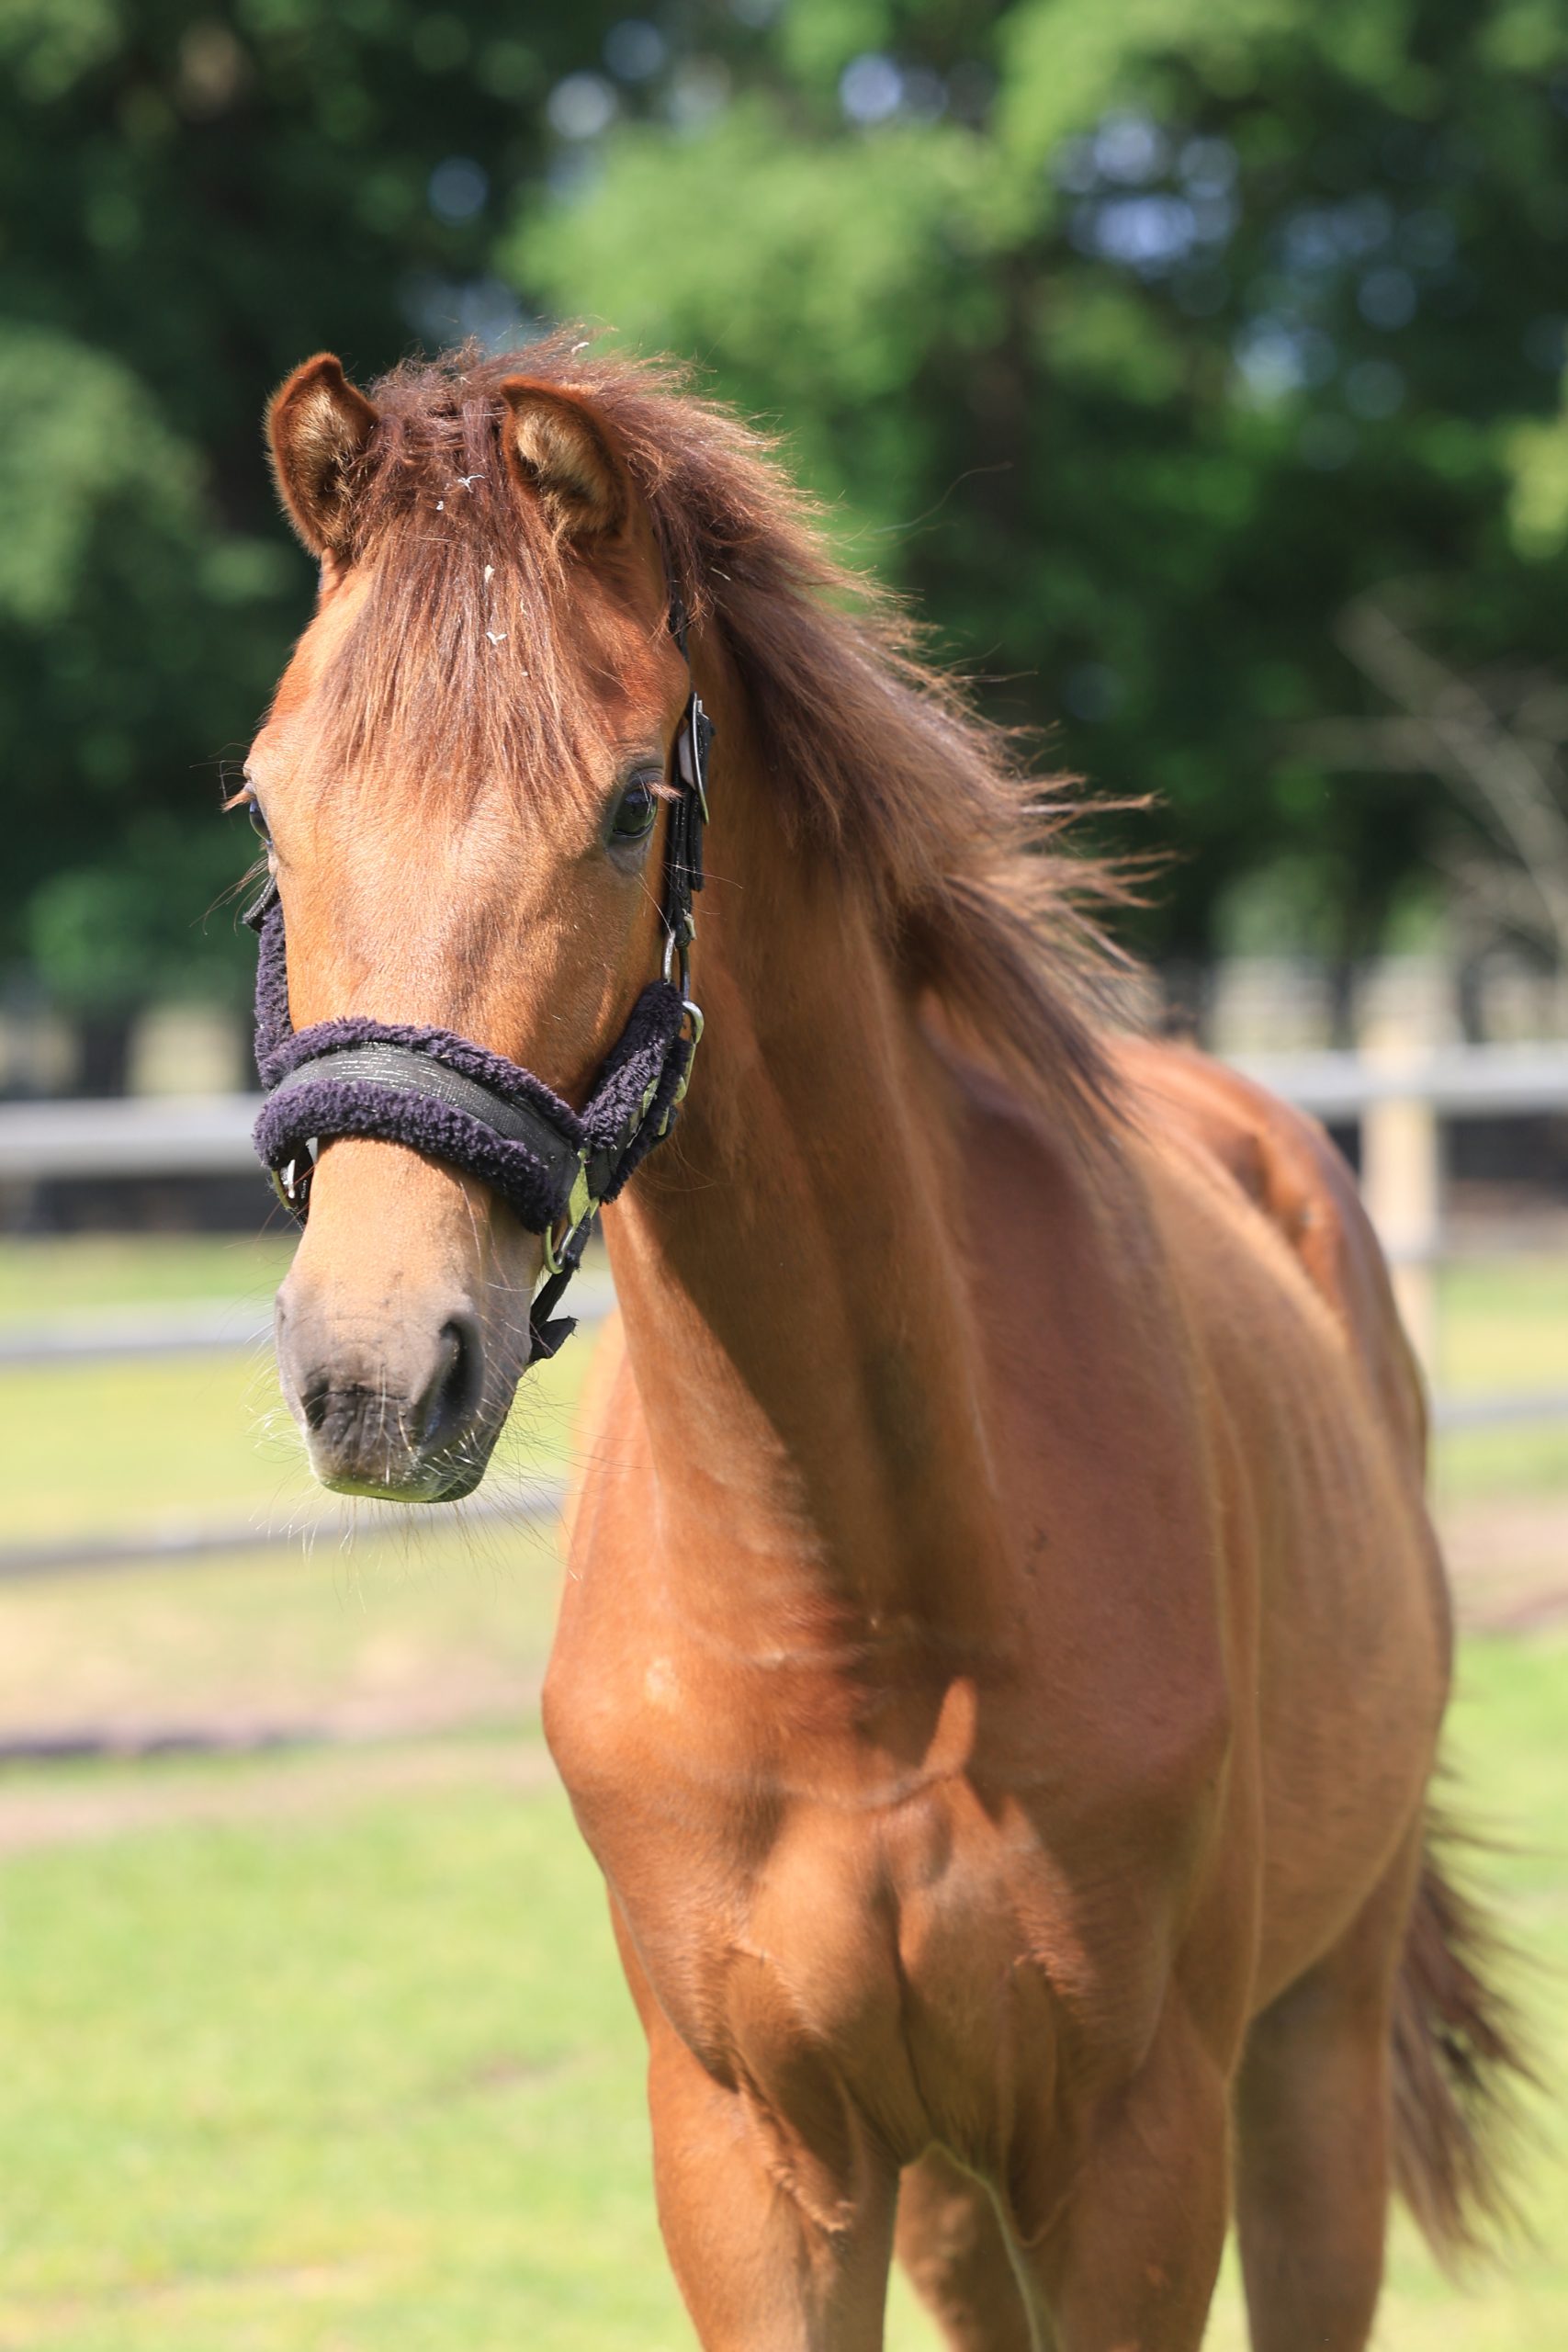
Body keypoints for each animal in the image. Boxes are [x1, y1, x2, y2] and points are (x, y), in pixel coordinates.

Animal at [246, 336, 1525, 2349]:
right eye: (267, 803)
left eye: (629, 804)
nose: (375, 1369)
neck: (857, 1611)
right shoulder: (757, 2157)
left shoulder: (1132, 2151)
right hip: (947, 2189)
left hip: (1306, 2054)